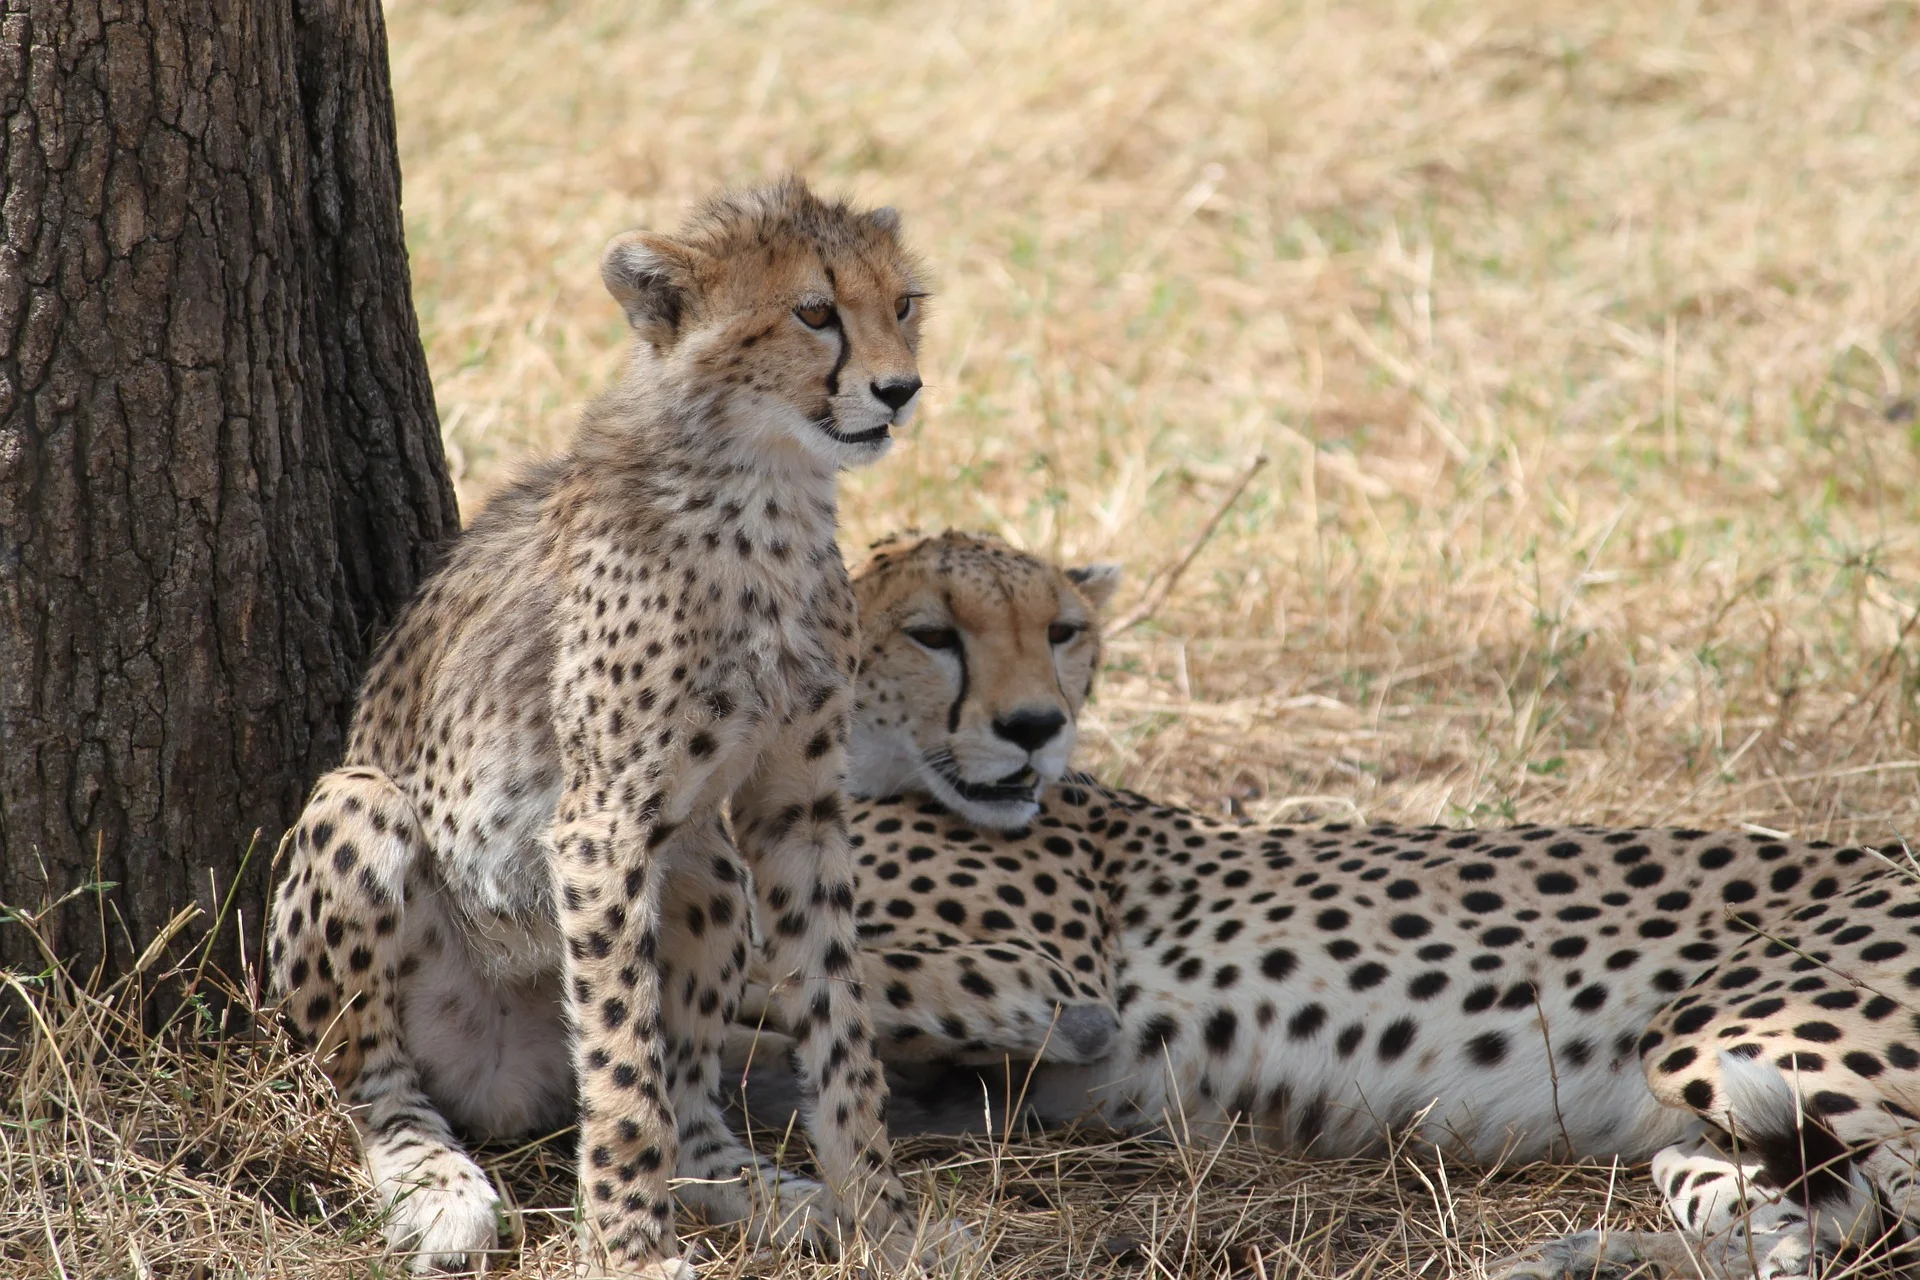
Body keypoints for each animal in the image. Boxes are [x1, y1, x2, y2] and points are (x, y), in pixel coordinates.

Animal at [268, 182, 960, 1280]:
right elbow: (624, 1067)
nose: (901, 389)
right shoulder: (602, 825)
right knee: (373, 1075)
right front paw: (631, 1250)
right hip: (361, 806)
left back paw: (762, 1191)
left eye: (904, 303)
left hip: (709, 864)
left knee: (693, 1088)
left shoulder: (798, 813)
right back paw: (438, 1183)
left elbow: (839, 1022)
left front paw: (885, 1217)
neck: (766, 489)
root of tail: (504, 1079)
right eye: (814, 312)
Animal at [729, 529, 1920, 1280]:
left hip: (1727, 1028)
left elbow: (757, 965)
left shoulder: (1048, 985)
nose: (1034, 728)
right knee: (1808, 1217)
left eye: (1064, 631)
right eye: (932, 633)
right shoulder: (975, 1082)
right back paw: (1588, 1255)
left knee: (1882, 1208)